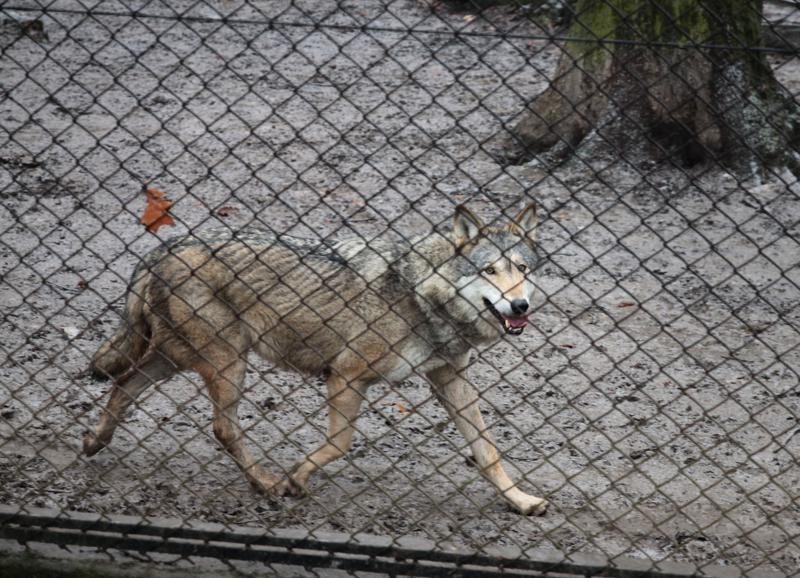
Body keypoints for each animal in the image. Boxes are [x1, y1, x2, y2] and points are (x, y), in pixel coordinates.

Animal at [86, 202, 552, 512]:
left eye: (522, 269)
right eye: (489, 270)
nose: (520, 306)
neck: (422, 294)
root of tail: (158, 250)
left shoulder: (451, 379)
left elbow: (488, 450)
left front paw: (520, 500)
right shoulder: (345, 376)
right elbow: (339, 443)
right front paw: (294, 479)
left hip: (176, 361)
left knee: (122, 386)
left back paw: (94, 442)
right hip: (227, 365)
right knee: (222, 428)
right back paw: (265, 482)